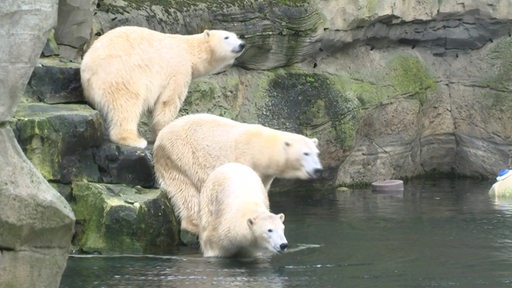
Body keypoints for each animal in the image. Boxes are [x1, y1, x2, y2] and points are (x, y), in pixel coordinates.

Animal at [80, 26, 246, 148]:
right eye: (226, 37)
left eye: (236, 36)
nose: (242, 44)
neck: (189, 50)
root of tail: (87, 69)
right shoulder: (178, 69)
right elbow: (168, 101)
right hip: (121, 75)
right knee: (126, 104)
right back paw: (134, 139)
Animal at [152, 112, 324, 234]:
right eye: (305, 153)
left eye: (317, 153)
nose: (318, 170)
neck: (262, 148)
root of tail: (159, 138)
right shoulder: (244, 159)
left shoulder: (264, 175)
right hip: (180, 156)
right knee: (187, 193)